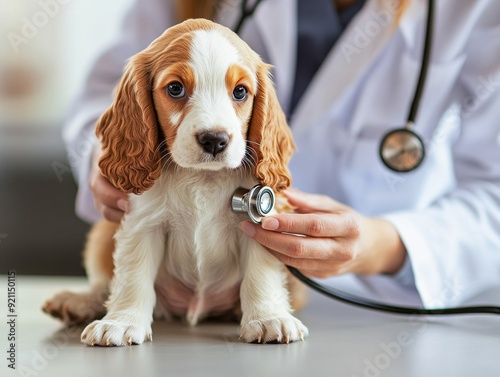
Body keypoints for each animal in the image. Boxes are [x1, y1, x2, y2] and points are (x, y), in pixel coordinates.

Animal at [44, 19, 308, 346]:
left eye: (240, 92)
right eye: (175, 88)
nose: (215, 140)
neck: (201, 176)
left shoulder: (262, 222)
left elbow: (261, 273)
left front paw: (269, 318)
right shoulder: (142, 223)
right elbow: (132, 276)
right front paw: (121, 322)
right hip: (102, 233)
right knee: (105, 285)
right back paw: (75, 303)